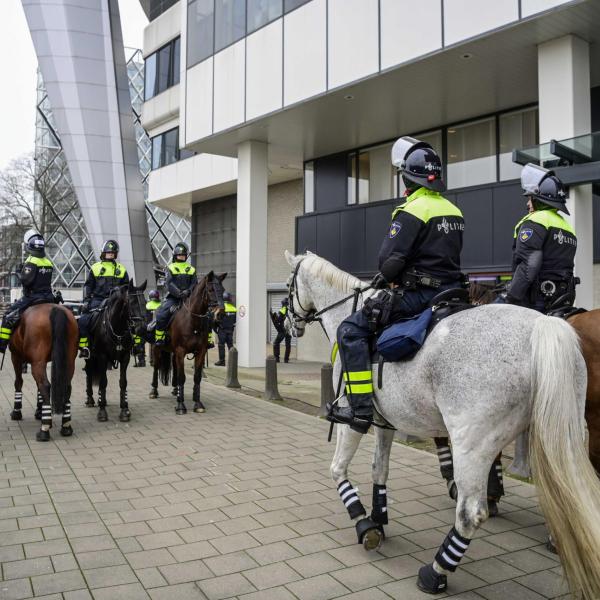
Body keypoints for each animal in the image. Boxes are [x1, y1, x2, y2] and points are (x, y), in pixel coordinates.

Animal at [6, 304, 78, 440]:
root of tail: (56, 309)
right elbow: (37, 387)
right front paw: (40, 412)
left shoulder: (16, 356)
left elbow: (18, 382)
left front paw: (17, 412)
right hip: (69, 360)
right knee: (66, 386)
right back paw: (66, 427)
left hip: (37, 362)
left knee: (44, 385)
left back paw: (44, 430)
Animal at [84, 280, 147, 422]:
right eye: (131, 302)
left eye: (145, 302)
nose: (142, 328)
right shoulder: (102, 357)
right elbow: (102, 382)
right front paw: (102, 412)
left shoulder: (125, 358)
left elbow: (123, 382)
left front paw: (124, 410)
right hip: (90, 358)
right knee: (89, 373)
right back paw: (90, 399)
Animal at [150, 270, 225, 412]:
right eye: (210, 289)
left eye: (223, 290)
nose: (220, 314)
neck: (192, 321)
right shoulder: (180, 351)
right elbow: (182, 377)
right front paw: (180, 405)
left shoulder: (200, 352)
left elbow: (197, 377)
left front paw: (198, 404)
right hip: (157, 349)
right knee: (156, 367)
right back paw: (154, 391)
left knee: (174, 366)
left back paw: (176, 390)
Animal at [284, 251, 600, 596]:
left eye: (288, 286)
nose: (287, 323)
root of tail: (542, 324)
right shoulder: (385, 422)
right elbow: (379, 469)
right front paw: (379, 518)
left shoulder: (351, 420)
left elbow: (337, 469)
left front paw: (364, 523)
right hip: (564, 435)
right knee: (573, 491)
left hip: (472, 443)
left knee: (471, 514)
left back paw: (435, 572)